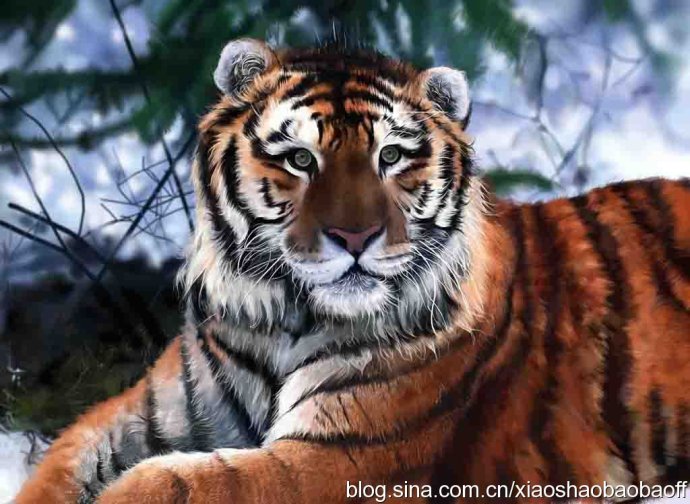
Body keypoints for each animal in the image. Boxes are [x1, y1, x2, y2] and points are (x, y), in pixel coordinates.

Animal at [17, 38, 690, 504]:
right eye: (299, 159)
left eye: (390, 156)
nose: (355, 237)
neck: (284, 318)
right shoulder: (151, 412)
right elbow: (61, 463)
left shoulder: (342, 459)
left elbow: (169, 483)